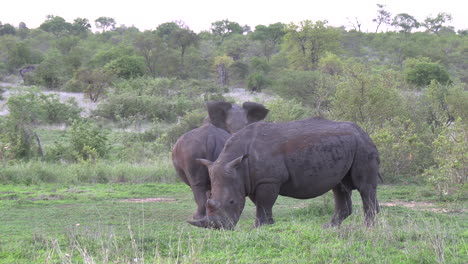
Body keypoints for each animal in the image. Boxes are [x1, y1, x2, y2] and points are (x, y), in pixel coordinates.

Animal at [193, 117, 380, 229]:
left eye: (232, 202)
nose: (219, 228)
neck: (238, 163)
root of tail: (364, 132)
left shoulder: (268, 180)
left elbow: (264, 203)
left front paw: (258, 227)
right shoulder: (252, 180)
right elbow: (261, 203)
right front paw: (268, 224)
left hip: (362, 145)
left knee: (364, 187)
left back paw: (367, 227)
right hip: (346, 145)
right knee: (340, 187)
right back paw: (329, 227)